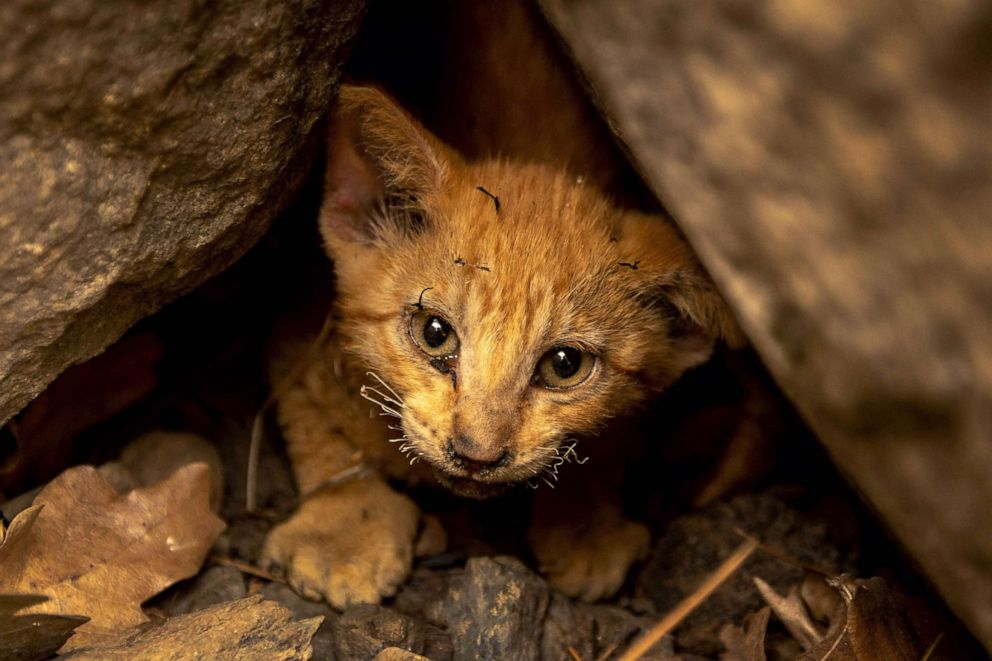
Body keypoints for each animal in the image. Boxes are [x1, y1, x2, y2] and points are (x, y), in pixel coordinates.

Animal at [260, 84, 740, 608]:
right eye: (434, 333)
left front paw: (585, 525)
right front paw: (344, 531)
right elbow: (318, 429)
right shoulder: (297, 325)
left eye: (565, 365)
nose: (476, 456)